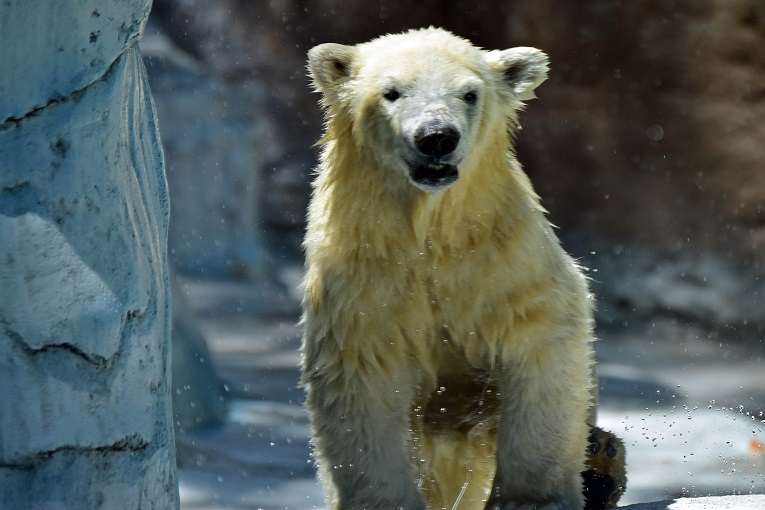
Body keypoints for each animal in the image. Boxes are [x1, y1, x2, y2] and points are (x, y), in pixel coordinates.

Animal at [298, 28, 620, 510]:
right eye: (391, 93)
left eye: (469, 94)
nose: (436, 137)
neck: (430, 235)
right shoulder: (361, 278)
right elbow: (363, 377)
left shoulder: (503, 257)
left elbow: (539, 337)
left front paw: (532, 497)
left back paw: (602, 465)